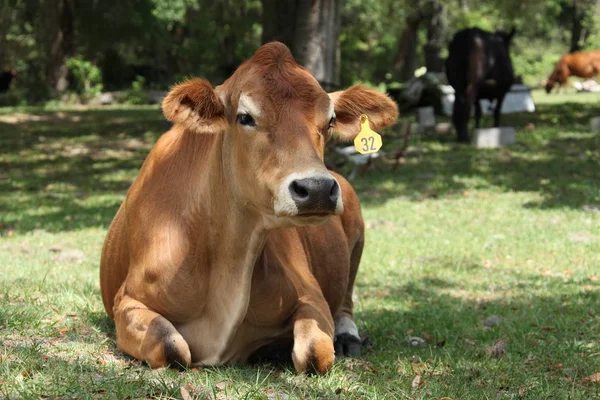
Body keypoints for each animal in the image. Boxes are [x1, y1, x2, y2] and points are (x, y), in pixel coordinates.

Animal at [98, 42, 398, 374]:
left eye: (330, 120)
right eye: (245, 117)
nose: (318, 188)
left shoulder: (311, 295)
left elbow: (313, 353)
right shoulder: (128, 300)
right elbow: (170, 346)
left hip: (357, 234)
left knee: (346, 300)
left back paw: (348, 337)